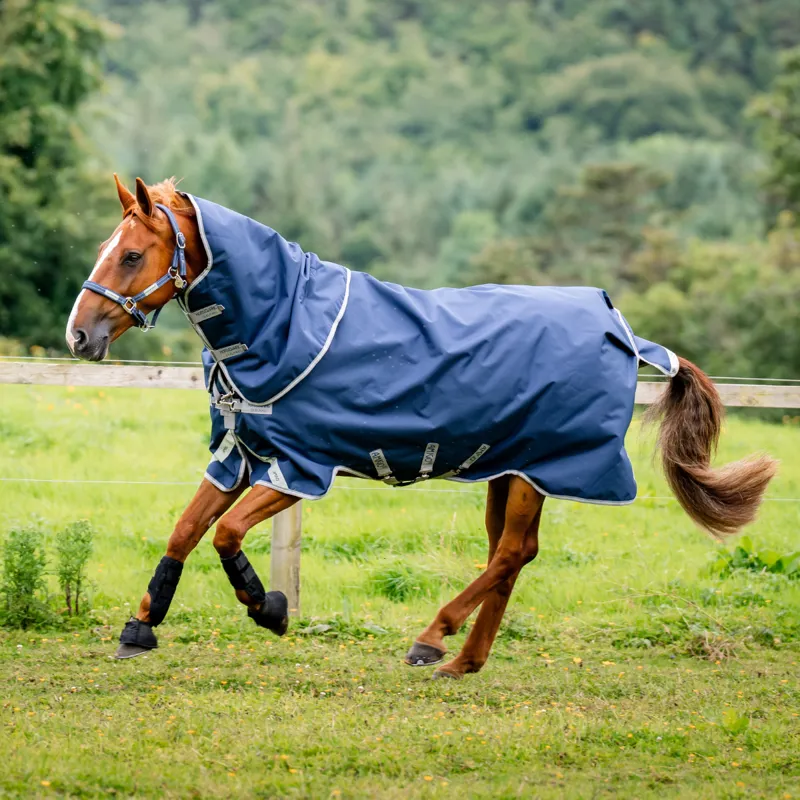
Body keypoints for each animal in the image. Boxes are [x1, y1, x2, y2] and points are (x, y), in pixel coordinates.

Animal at [66, 175, 777, 678]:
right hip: (510, 467)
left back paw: (433, 639)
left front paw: (268, 608)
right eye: (104, 249)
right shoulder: (242, 455)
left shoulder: (300, 468)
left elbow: (226, 534)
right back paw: (464, 661)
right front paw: (140, 628)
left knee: (511, 553)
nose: (80, 335)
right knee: (512, 553)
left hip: (538, 469)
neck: (283, 325)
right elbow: (186, 530)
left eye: (131, 255)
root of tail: (622, 329)